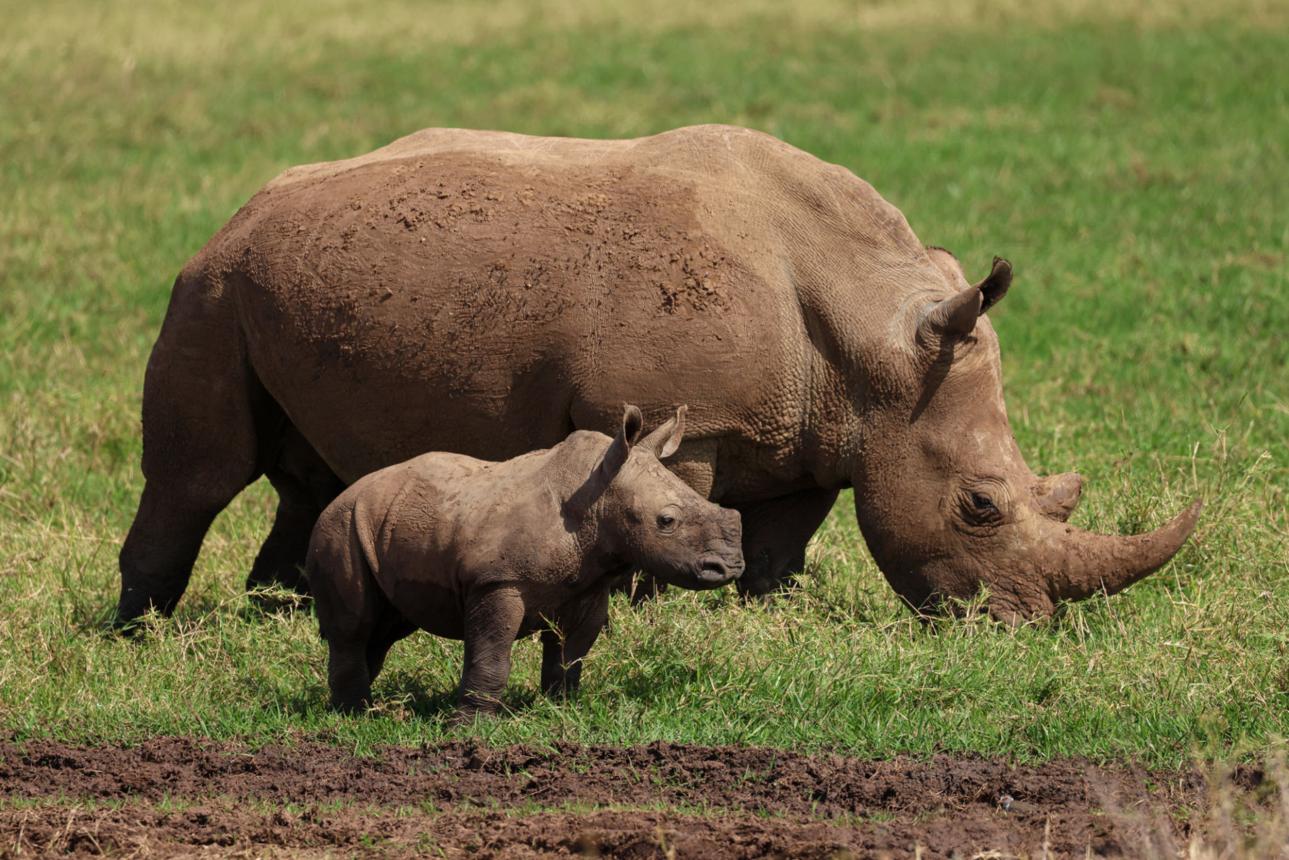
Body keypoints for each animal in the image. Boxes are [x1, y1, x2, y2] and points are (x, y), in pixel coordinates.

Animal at [117, 124, 1200, 626]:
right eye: (979, 505)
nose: (1017, 624)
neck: (873, 347)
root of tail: (243, 210)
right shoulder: (691, 418)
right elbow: (666, 511)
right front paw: (658, 610)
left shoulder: (819, 432)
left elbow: (781, 541)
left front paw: (762, 611)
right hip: (211, 290)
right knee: (198, 475)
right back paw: (142, 630)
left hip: (295, 283)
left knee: (309, 475)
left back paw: (284, 609)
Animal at [308, 404, 743, 717]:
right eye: (666, 522)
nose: (730, 567)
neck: (597, 497)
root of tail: (342, 496)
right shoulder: (497, 582)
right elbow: (491, 655)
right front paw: (471, 725)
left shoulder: (588, 584)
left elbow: (570, 656)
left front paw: (561, 710)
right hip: (339, 528)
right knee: (355, 624)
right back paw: (358, 716)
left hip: (380, 525)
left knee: (387, 625)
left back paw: (358, 706)